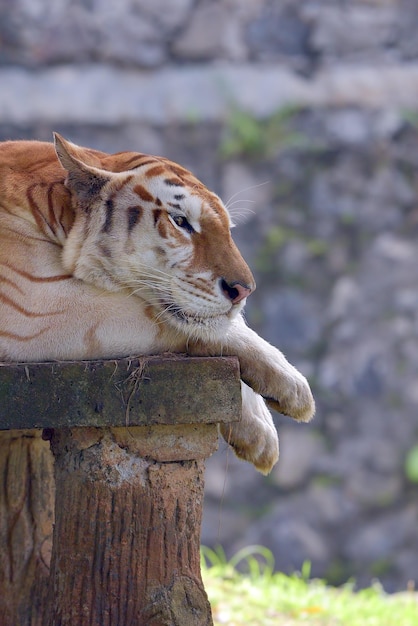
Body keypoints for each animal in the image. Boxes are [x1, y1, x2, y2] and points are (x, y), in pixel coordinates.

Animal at [0, 134, 314, 470]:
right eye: (180, 221)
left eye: (227, 230)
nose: (245, 290)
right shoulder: (34, 307)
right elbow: (167, 320)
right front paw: (291, 392)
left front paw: (260, 427)